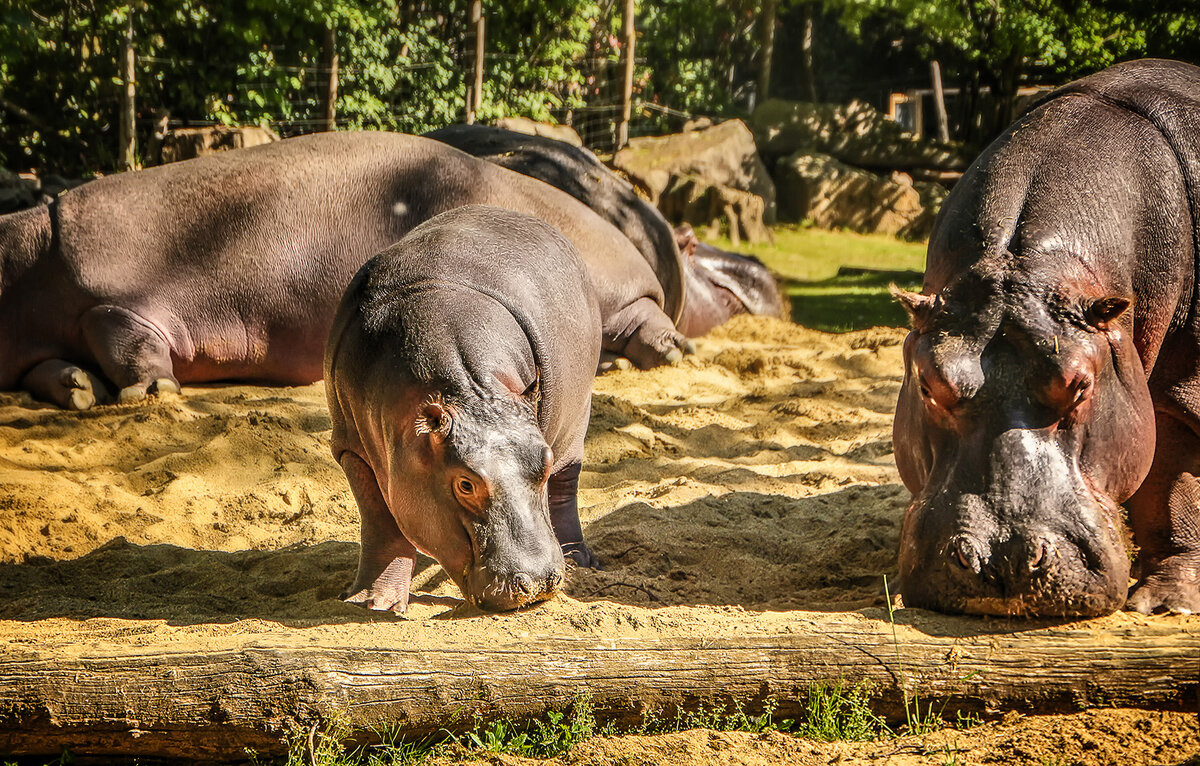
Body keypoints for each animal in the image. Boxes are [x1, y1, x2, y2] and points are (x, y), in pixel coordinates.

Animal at [0, 130, 691, 413]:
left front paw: (150, 396)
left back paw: (674, 353)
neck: (24, 250)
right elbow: (53, 369)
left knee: (639, 325)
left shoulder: (112, 297)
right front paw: (81, 392)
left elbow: (124, 338)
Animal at [326, 204, 600, 612]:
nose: (537, 582)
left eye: (544, 462)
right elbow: (381, 523)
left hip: (578, 419)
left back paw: (579, 558)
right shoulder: (349, 447)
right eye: (466, 484)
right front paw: (374, 603)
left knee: (567, 486)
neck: (468, 394)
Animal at [892, 60, 1200, 619]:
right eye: (928, 383)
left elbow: (1173, 486)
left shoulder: (1182, 386)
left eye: (1081, 384)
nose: (1003, 558)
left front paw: (1167, 605)